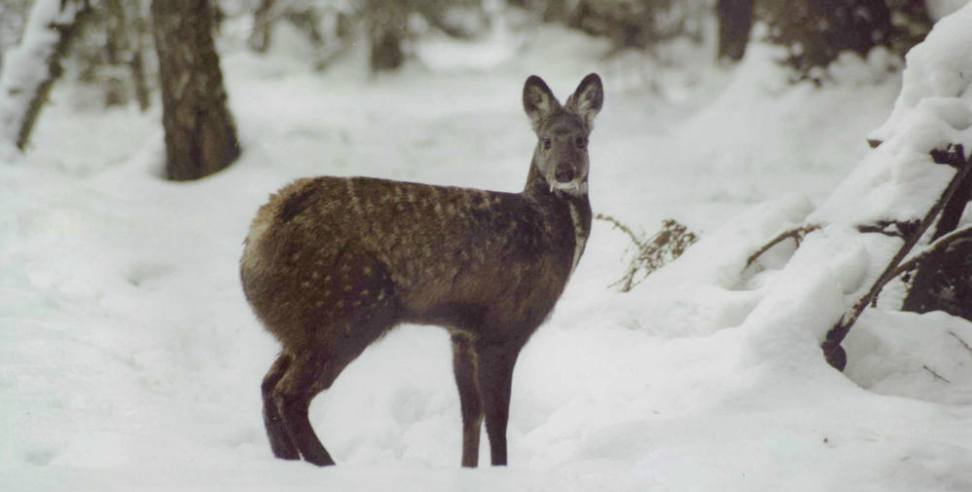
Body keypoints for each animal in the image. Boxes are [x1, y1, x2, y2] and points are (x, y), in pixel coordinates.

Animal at [240, 73, 604, 468]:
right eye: (545, 141)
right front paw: (499, 471)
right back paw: (327, 466)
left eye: (582, 140)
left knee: (267, 386)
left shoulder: (462, 333)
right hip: (346, 310)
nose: (564, 173)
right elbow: (497, 418)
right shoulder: (503, 325)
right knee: (288, 395)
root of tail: (256, 239)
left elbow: (471, 414)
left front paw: (467, 470)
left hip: (301, 326)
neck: (545, 229)